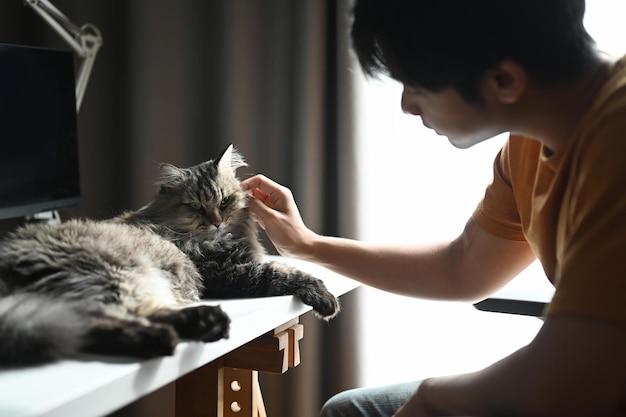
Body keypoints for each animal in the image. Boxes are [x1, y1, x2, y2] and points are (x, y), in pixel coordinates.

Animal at [0, 144, 338, 364]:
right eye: (197, 206)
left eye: (225, 201)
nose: (217, 221)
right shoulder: (229, 273)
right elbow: (287, 274)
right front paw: (325, 298)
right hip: (115, 273)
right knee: (101, 319)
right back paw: (171, 334)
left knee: (95, 323)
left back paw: (196, 326)